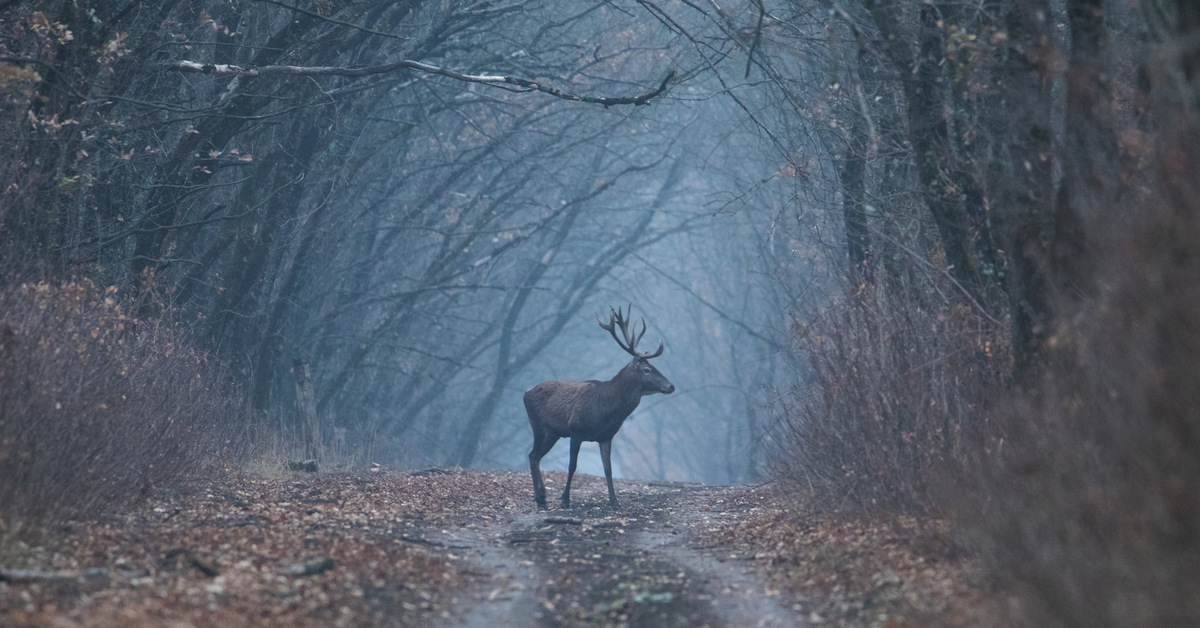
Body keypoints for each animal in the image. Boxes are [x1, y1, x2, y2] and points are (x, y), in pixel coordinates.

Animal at [525, 306, 676, 511]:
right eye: (647, 370)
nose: (671, 386)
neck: (606, 410)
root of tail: (526, 392)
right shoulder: (576, 430)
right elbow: (572, 466)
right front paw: (565, 500)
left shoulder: (606, 436)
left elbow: (608, 469)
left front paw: (615, 502)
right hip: (539, 426)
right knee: (533, 455)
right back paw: (541, 499)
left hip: (553, 432)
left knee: (535, 456)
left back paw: (541, 499)